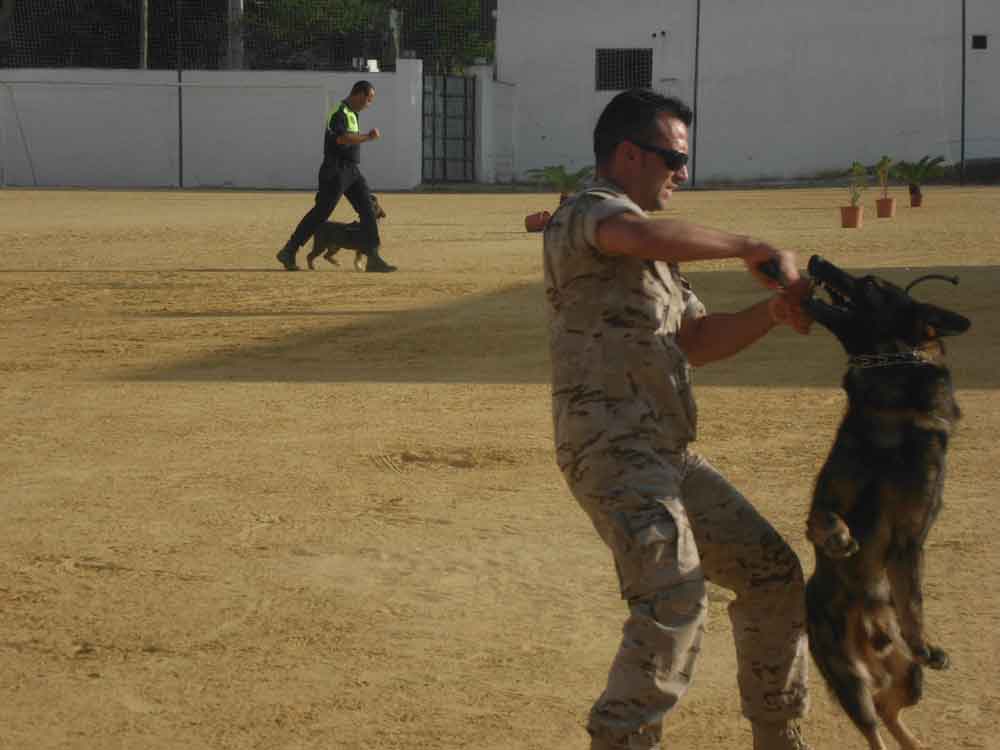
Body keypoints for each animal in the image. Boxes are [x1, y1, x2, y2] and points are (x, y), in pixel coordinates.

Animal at [804, 256, 968, 748]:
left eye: (872, 283)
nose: (816, 259)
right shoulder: (824, 500)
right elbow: (823, 519)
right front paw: (839, 539)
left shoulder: (911, 537)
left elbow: (912, 600)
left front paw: (926, 642)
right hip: (848, 678)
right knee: (875, 721)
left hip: (911, 679)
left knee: (890, 712)